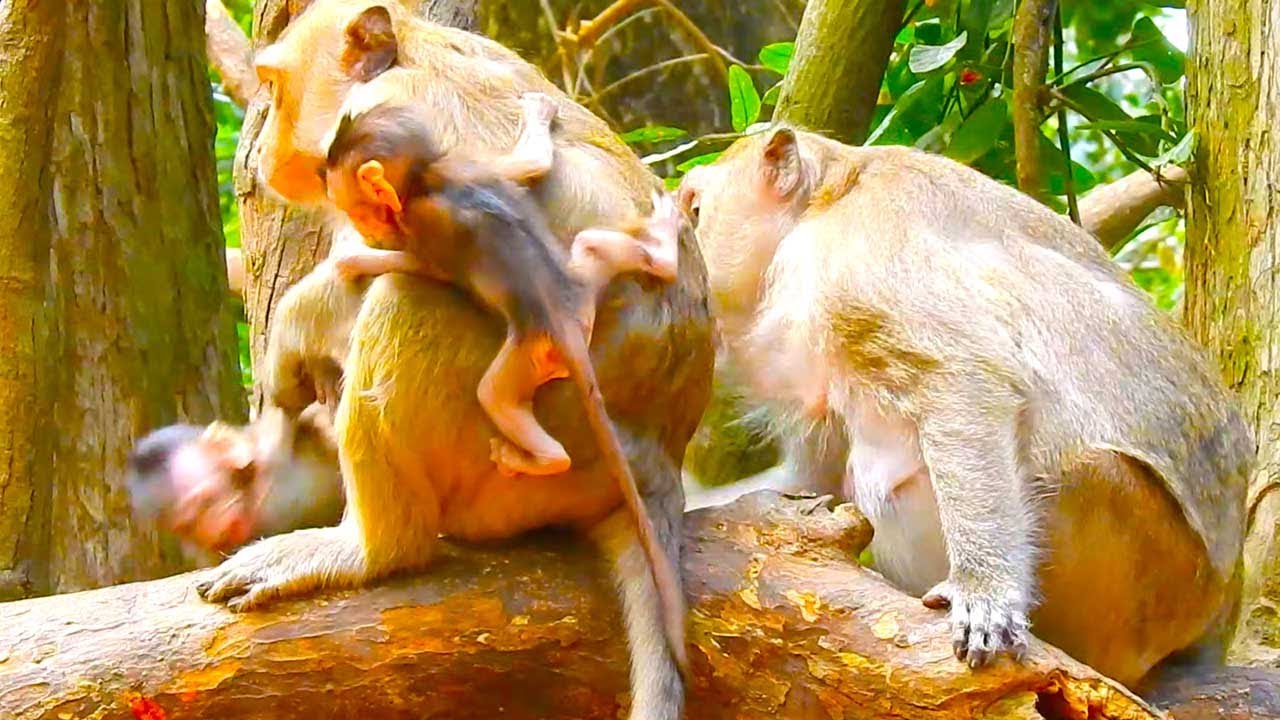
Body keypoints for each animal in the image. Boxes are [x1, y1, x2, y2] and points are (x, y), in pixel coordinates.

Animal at [317, 102, 687, 672]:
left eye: (357, 208)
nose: (364, 226)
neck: (428, 177)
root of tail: (567, 322)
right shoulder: (474, 163)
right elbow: (528, 165)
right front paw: (538, 119)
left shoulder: (422, 225)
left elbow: (418, 265)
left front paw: (360, 260)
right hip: (585, 279)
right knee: (593, 244)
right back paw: (663, 252)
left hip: (531, 351)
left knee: (493, 393)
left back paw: (536, 457)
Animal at [677, 125, 1251, 689]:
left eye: (695, 210)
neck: (821, 204)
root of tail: (1222, 609)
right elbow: (813, 480)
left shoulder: (861, 258)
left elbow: (964, 382)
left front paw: (984, 594)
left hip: (1153, 588)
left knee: (1079, 469)